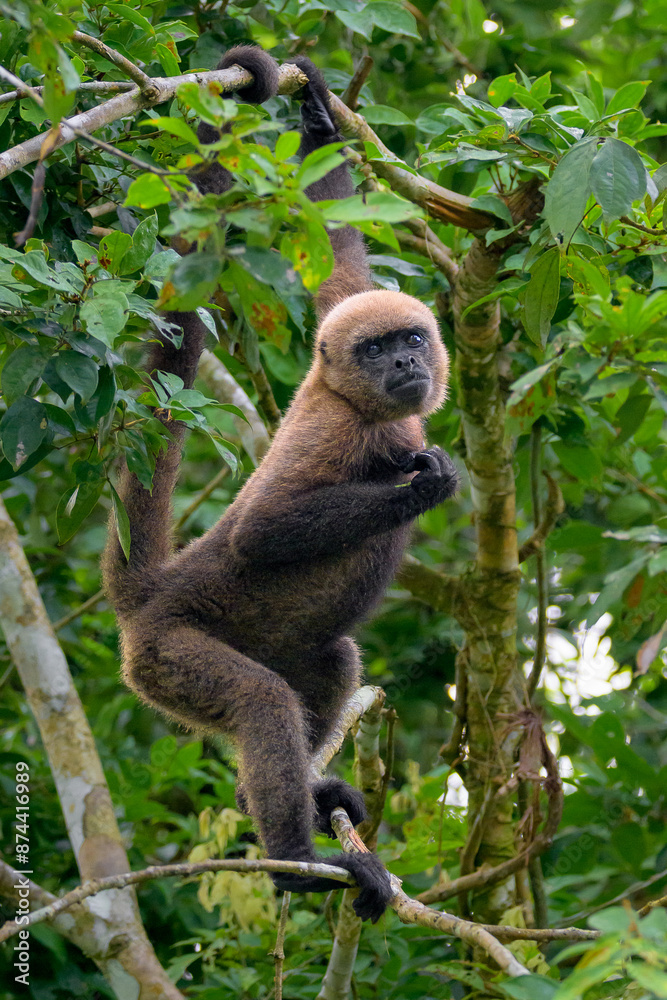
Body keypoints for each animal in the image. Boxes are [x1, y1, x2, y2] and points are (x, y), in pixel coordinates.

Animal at [102, 49, 459, 924]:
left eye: (409, 339)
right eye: (377, 352)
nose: (407, 363)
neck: (365, 406)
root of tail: (154, 593)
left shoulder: (344, 337)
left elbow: (337, 264)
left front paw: (318, 121)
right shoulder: (338, 428)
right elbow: (261, 531)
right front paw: (424, 487)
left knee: (331, 658)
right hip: (165, 657)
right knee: (261, 699)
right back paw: (298, 861)